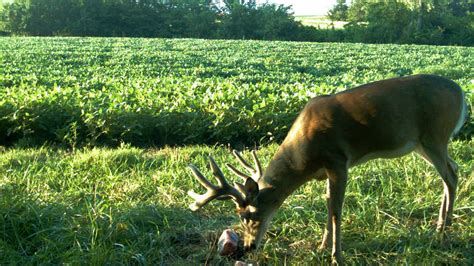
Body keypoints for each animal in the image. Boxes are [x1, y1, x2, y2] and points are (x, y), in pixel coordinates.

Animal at [187, 75, 468, 264]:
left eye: (247, 215)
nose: (247, 247)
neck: (304, 158)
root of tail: (462, 94)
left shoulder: (338, 160)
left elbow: (336, 210)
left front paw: (336, 256)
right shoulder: (327, 170)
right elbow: (327, 202)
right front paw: (322, 247)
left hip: (435, 135)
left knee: (451, 175)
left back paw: (443, 231)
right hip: (422, 143)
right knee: (451, 170)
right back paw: (439, 226)